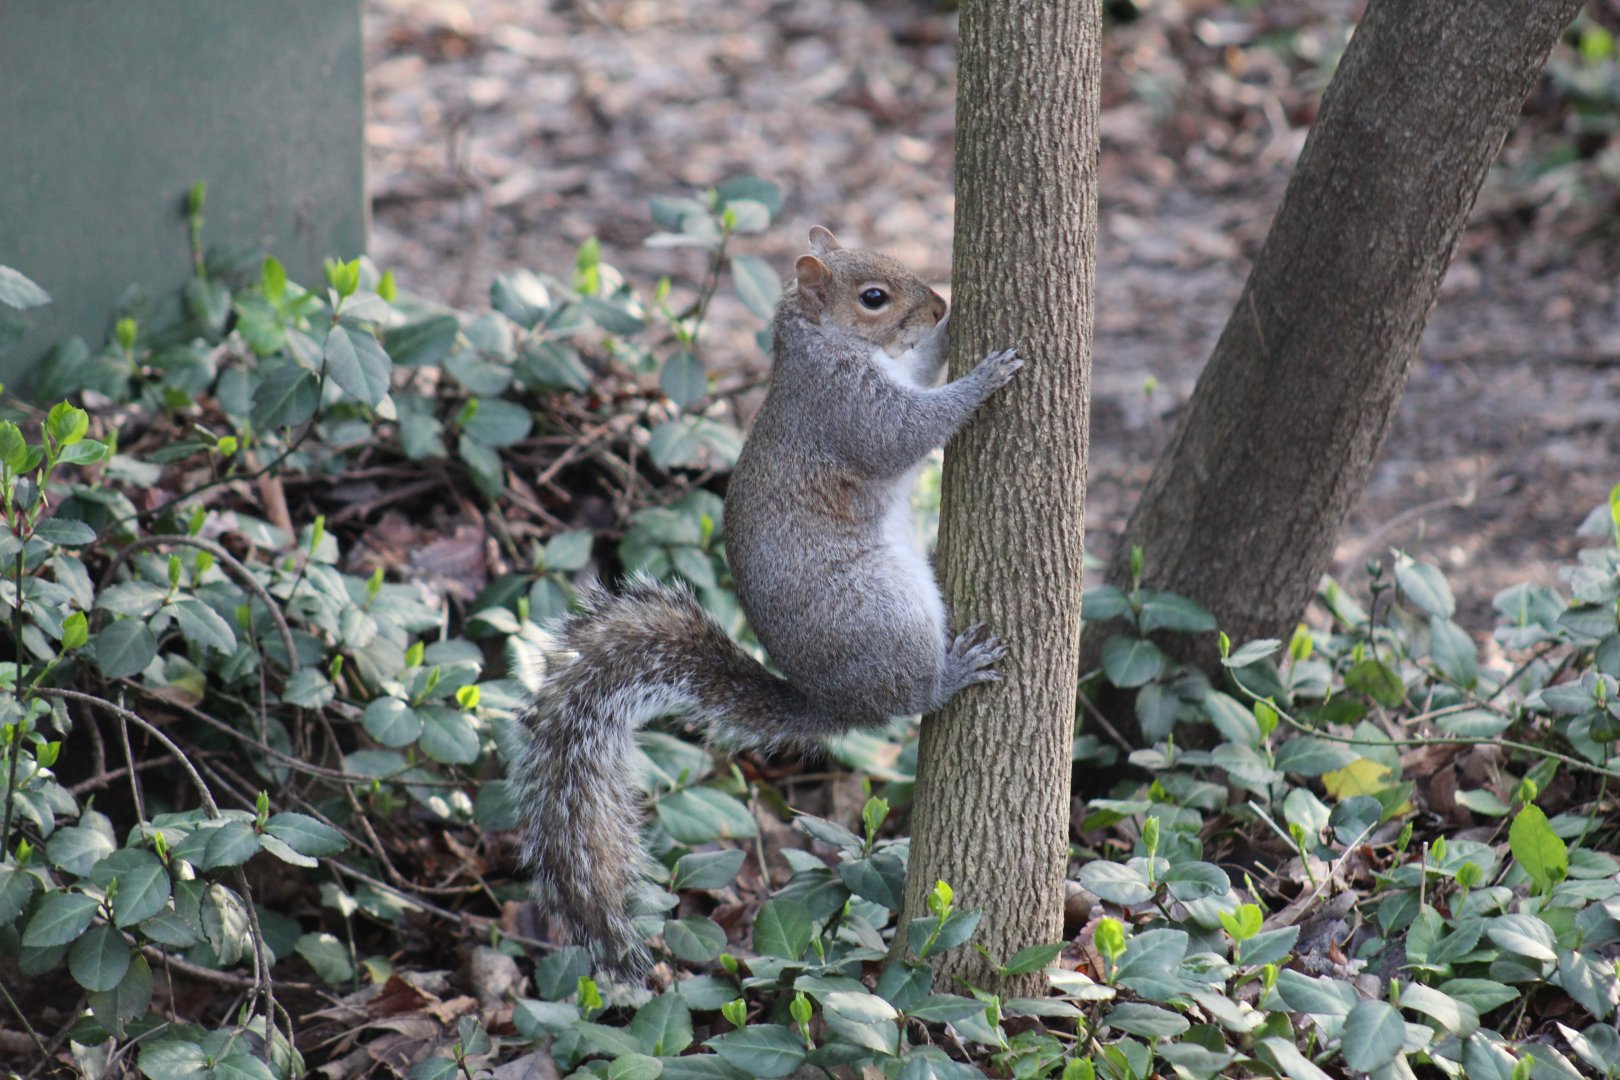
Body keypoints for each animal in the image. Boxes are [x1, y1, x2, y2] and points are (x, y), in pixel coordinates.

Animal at [513, 226, 1022, 979]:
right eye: (874, 298)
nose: (935, 304)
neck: (818, 342)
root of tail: (834, 705)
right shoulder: (845, 408)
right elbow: (906, 429)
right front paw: (985, 375)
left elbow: (922, 368)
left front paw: (951, 329)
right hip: (881, 614)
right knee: (912, 698)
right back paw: (952, 673)